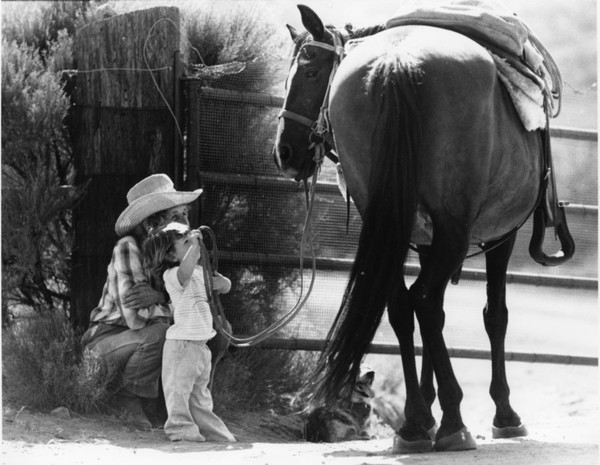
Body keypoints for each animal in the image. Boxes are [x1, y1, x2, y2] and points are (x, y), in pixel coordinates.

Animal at [274, 4, 576, 454]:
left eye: (310, 73)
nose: (285, 153)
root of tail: (397, 62)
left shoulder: (426, 240)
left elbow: (434, 315)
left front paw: (428, 410)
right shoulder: (496, 237)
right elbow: (494, 316)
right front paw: (504, 415)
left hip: (394, 223)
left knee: (405, 305)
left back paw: (416, 424)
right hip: (455, 227)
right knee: (425, 302)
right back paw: (453, 423)